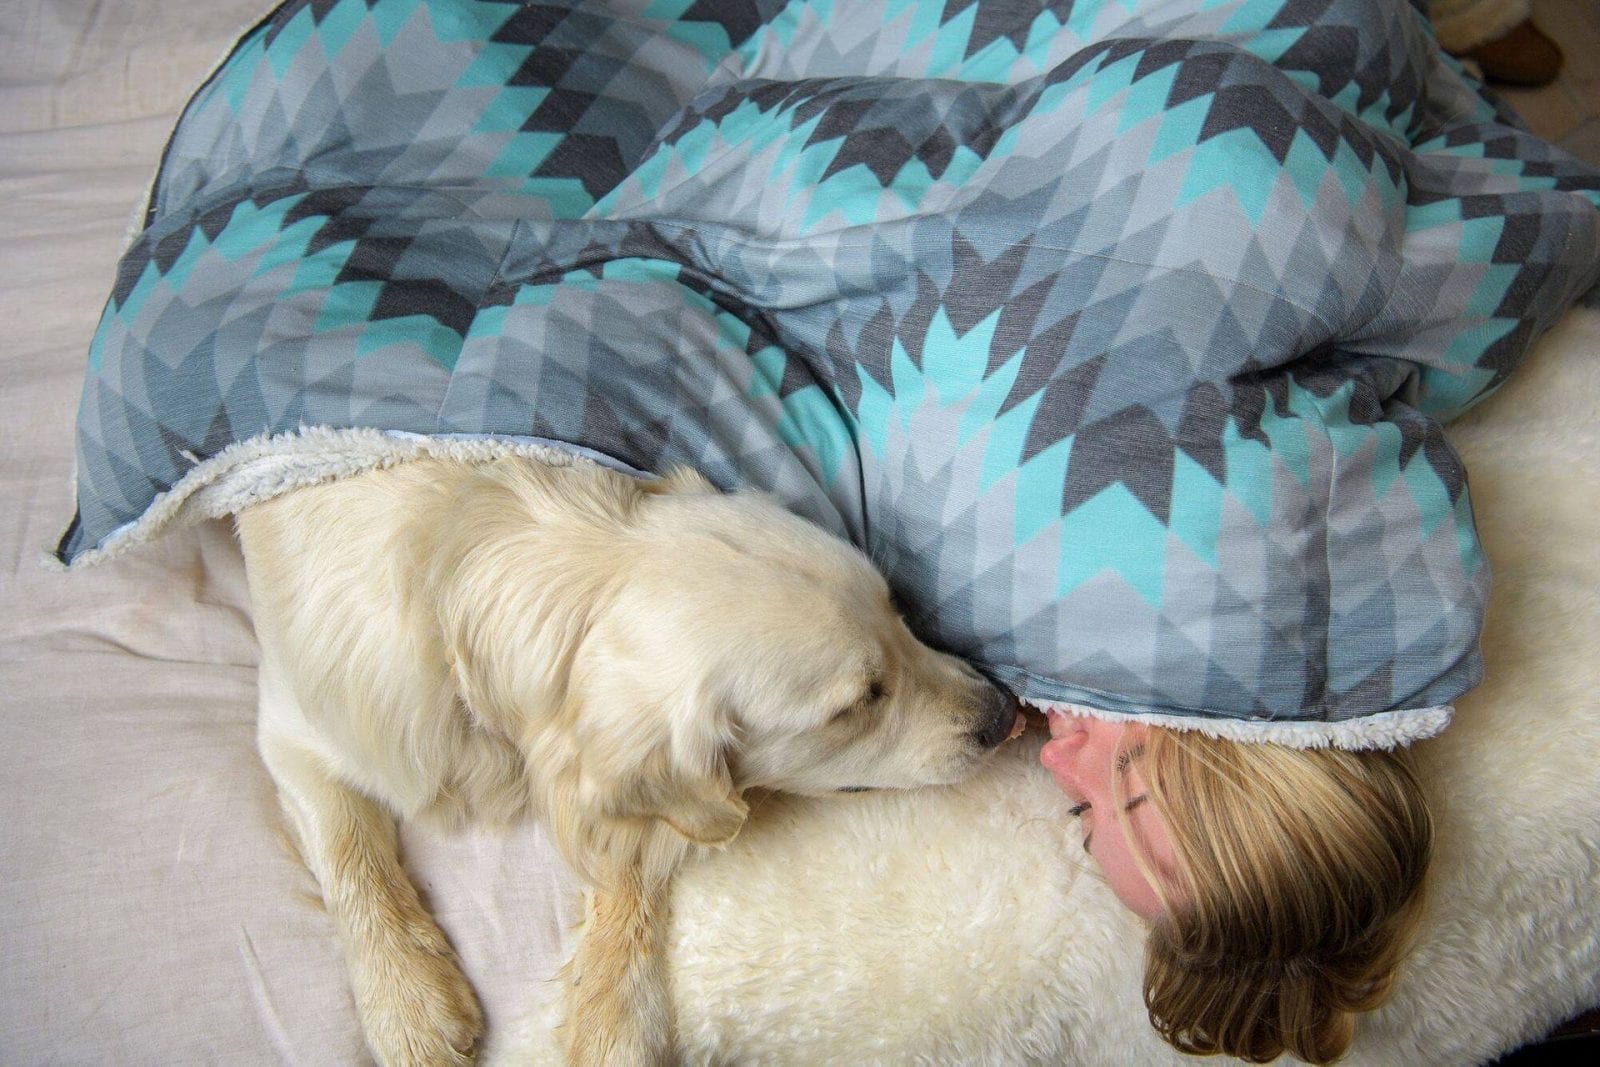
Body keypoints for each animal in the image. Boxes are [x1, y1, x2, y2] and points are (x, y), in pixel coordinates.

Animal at [235, 454, 1011, 1067]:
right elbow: (351, 853)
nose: (1004, 713)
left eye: (899, 611)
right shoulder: (293, 724)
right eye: (858, 703)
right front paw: (408, 1002)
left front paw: (615, 1015)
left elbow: (630, 856)